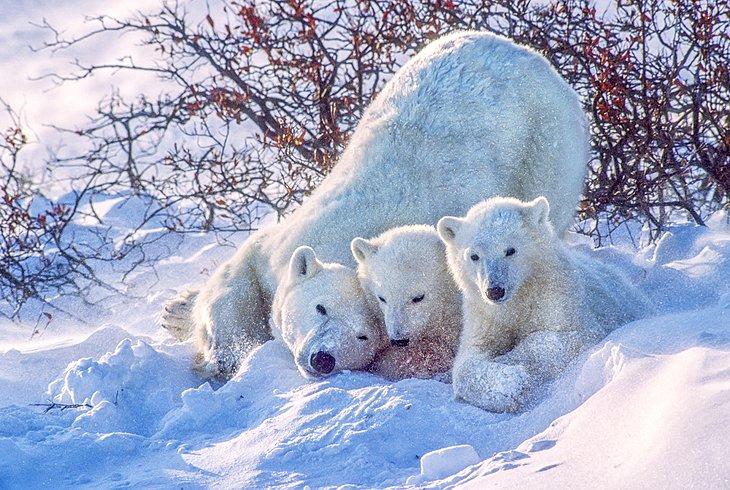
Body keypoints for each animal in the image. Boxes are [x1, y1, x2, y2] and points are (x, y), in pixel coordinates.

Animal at [437, 196, 653, 413]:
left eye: (510, 250)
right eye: (474, 256)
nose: (495, 291)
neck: (521, 294)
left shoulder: (557, 298)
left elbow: (560, 337)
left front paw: (513, 374)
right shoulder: (484, 315)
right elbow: (469, 356)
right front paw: (506, 385)